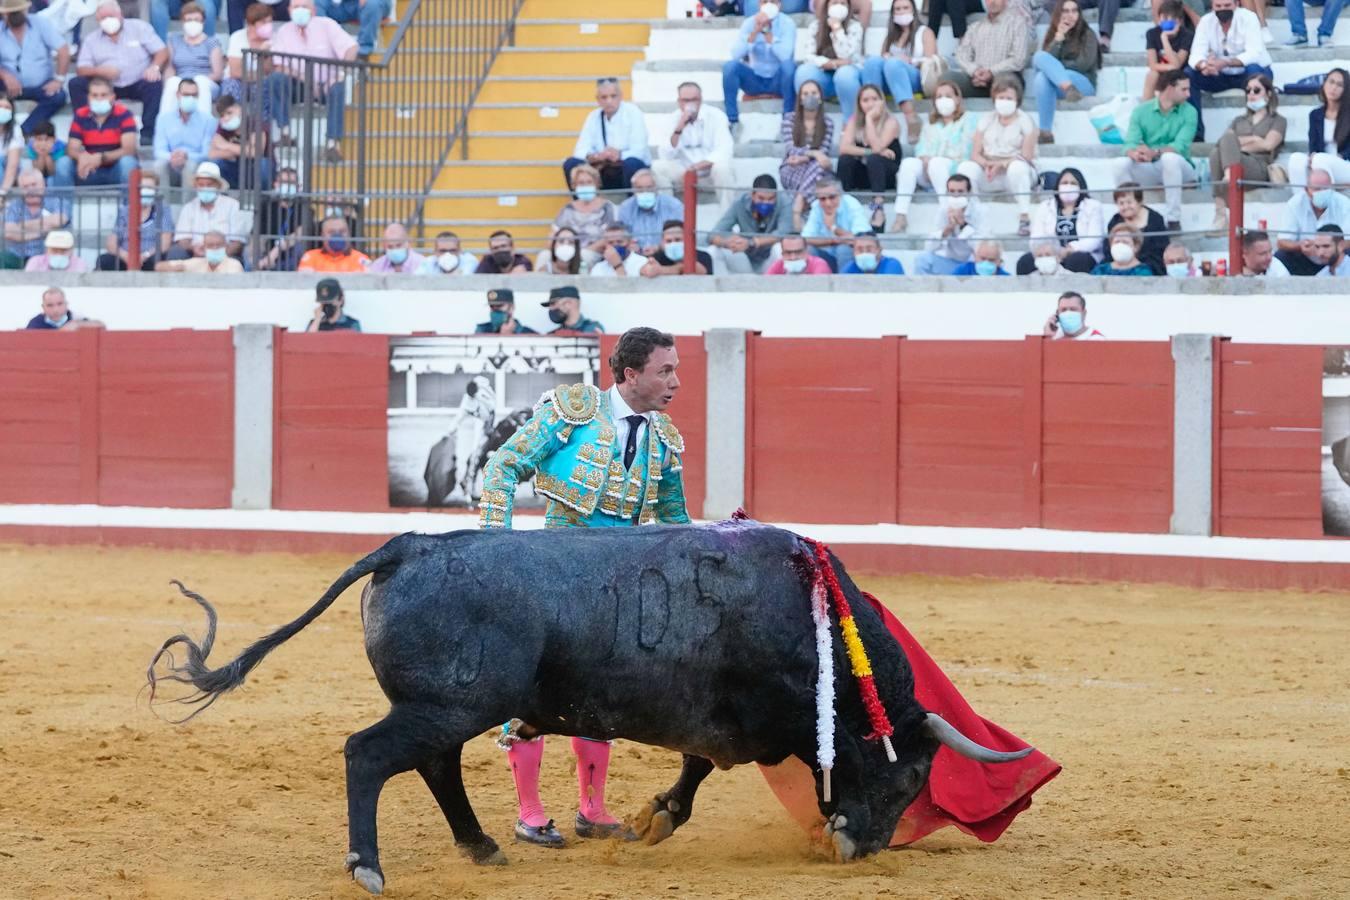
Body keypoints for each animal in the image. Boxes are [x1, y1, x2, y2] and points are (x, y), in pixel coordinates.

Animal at [147, 520, 1026, 895]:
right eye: (908, 778)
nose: (865, 850)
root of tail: (410, 545)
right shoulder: (738, 718)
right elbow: (702, 764)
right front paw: (660, 817)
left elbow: (695, 766)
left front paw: (652, 818)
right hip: (447, 704)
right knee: (370, 754)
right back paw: (368, 865)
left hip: (446, 707)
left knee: (434, 766)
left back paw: (481, 847)